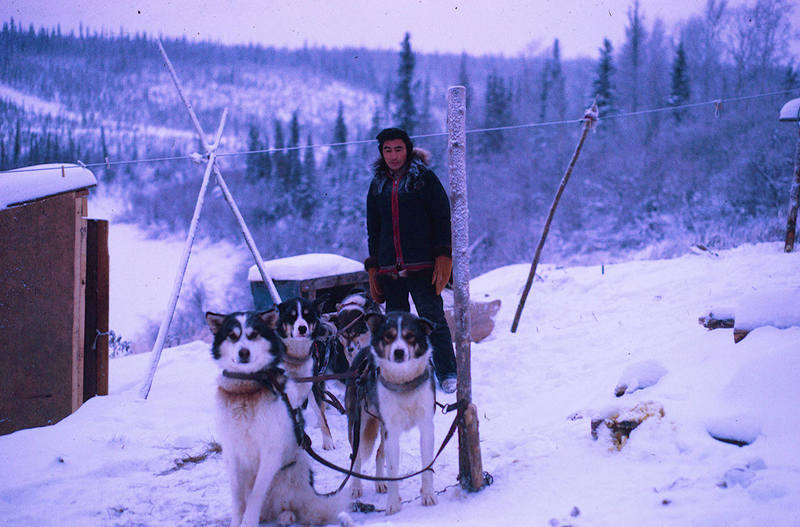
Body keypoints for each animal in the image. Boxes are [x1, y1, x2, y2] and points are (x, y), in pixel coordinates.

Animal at [205, 312, 348, 524]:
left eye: (254, 334)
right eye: (232, 336)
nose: (243, 352)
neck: (246, 389)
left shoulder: (270, 451)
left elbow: (256, 495)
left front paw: (248, 522)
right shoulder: (231, 451)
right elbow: (237, 499)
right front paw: (237, 521)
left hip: (295, 470)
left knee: (291, 506)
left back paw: (287, 515)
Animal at [346, 312, 438, 512]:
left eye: (410, 336)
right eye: (388, 336)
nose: (399, 352)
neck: (404, 384)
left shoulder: (426, 425)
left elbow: (427, 464)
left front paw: (428, 494)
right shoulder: (392, 431)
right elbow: (393, 469)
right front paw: (393, 503)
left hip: (381, 427)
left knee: (379, 453)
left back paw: (380, 482)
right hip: (358, 424)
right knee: (356, 456)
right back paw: (355, 486)